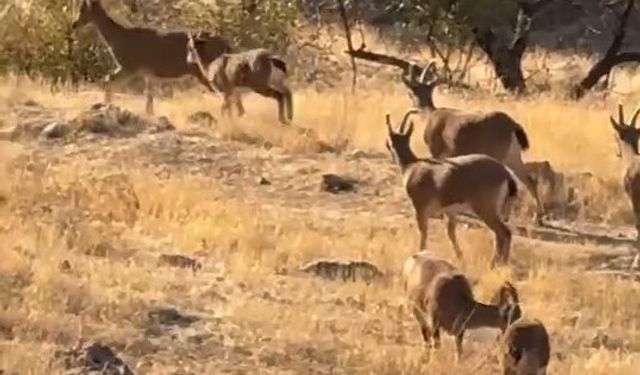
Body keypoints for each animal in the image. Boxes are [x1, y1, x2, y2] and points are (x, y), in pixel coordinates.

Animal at [70, 0, 230, 115]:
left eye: (82, 8)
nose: (74, 24)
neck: (117, 38)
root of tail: (225, 44)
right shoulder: (146, 72)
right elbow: (149, 94)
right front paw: (149, 112)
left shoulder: (129, 66)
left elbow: (108, 79)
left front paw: (106, 106)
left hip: (206, 71)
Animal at [384, 110, 520, 266]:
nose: (387, 145)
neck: (412, 166)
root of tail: (505, 174)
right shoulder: (451, 211)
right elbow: (451, 233)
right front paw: (460, 257)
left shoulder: (420, 208)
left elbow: (423, 232)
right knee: (502, 234)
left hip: (485, 209)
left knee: (504, 232)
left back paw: (495, 264)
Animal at [400, 64, 544, 226]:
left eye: (410, 92)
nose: (412, 105)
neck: (429, 115)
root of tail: (513, 125)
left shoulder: (436, 151)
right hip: (513, 156)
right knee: (529, 180)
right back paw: (537, 217)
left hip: (499, 155)